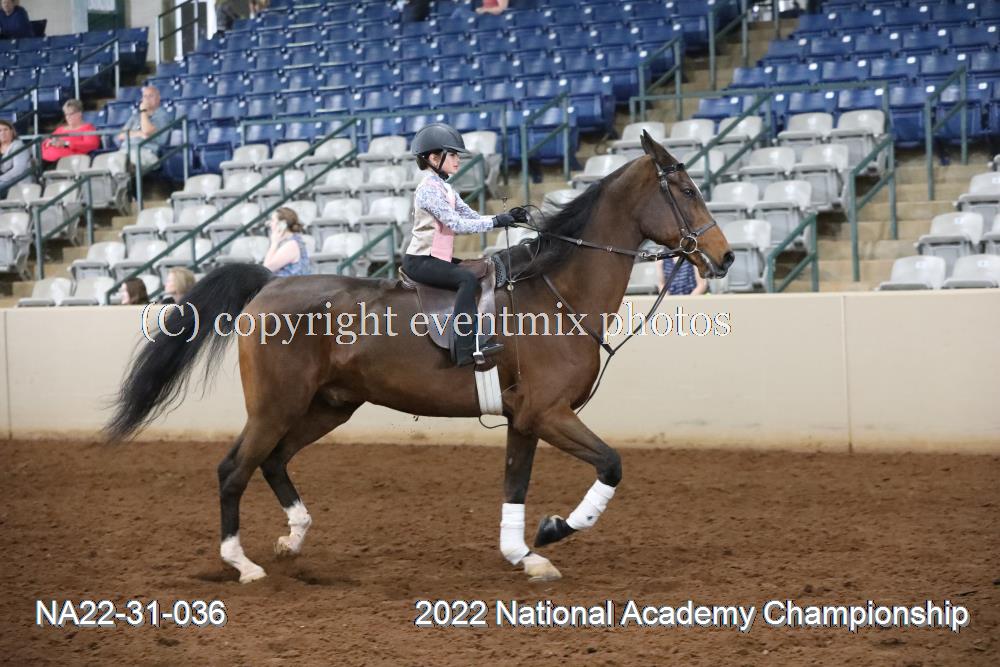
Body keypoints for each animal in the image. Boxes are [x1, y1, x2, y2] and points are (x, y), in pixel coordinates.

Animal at [106, 132, 733, 583]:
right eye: (687, 190)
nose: (725, 257)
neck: (557, 294)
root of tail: (267, 285)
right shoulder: (549, 413)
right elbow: (610, 465)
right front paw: (554, 530)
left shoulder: (526, 418)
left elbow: (515, 485)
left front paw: (523, 554)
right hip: (276, 406)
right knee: (234, 468)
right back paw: (242, 564)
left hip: (329, 406)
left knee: (274, 461)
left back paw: (294, 537)